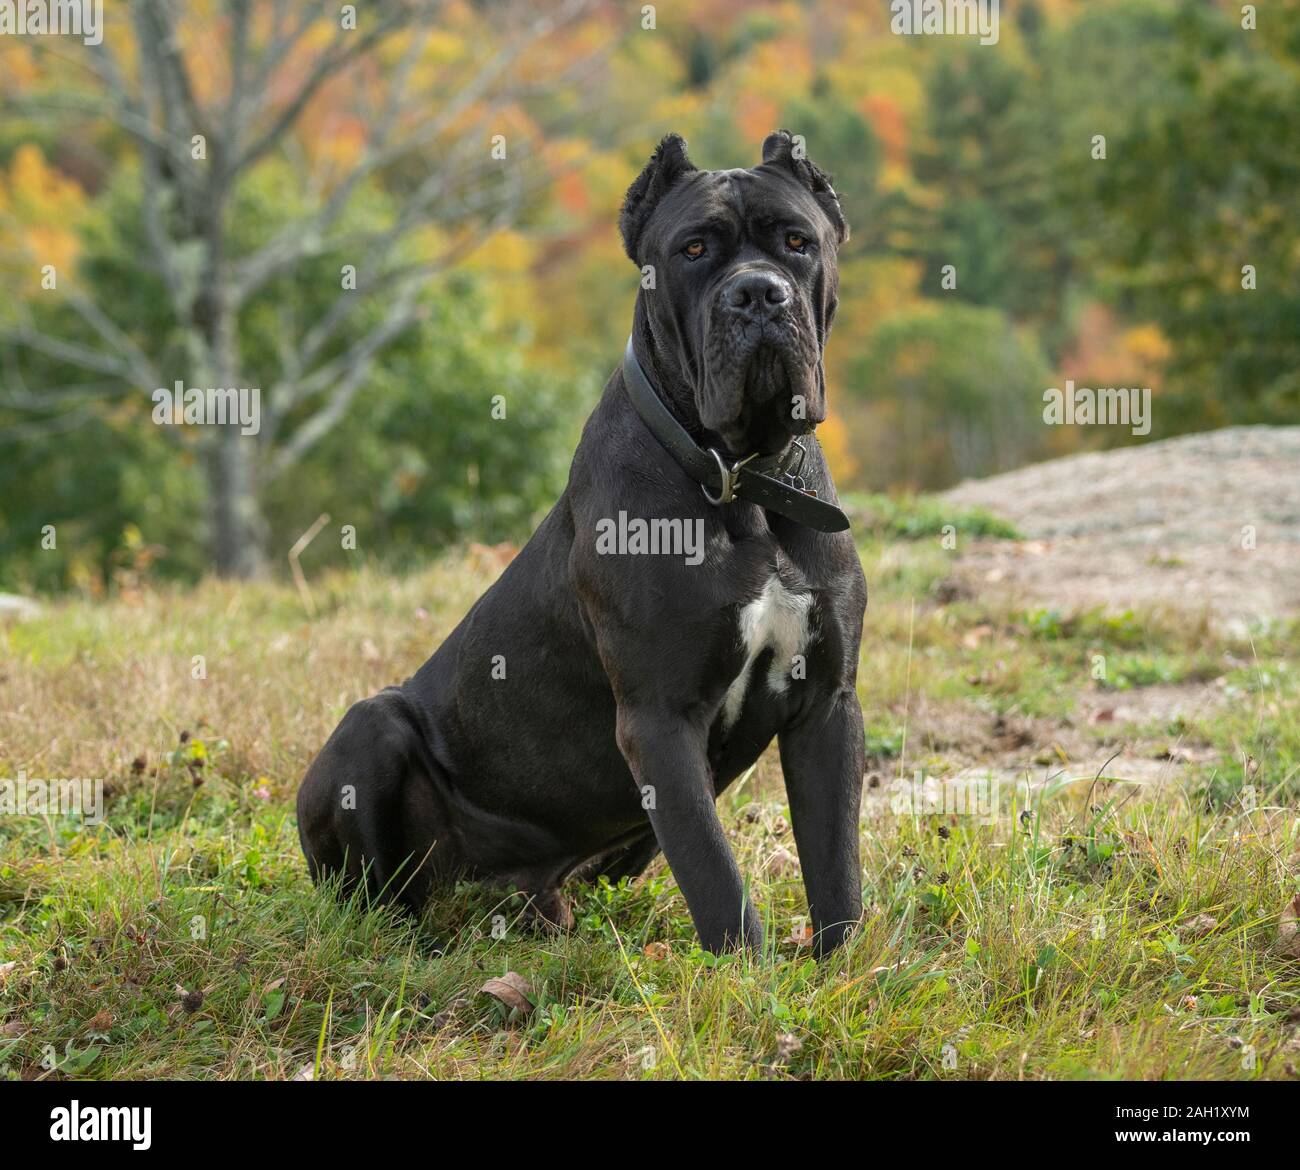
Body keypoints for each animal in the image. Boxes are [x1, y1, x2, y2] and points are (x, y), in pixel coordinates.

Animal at [293, 134, 863, 961]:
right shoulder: (658, 719)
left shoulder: (826, 704)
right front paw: (752, 977)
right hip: (371, 725)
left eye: (797, 242)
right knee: (373, 893)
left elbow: (836, 862)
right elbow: (716, 876)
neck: (739, 476)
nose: (758, 295)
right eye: (694, 249)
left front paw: (844, 970)